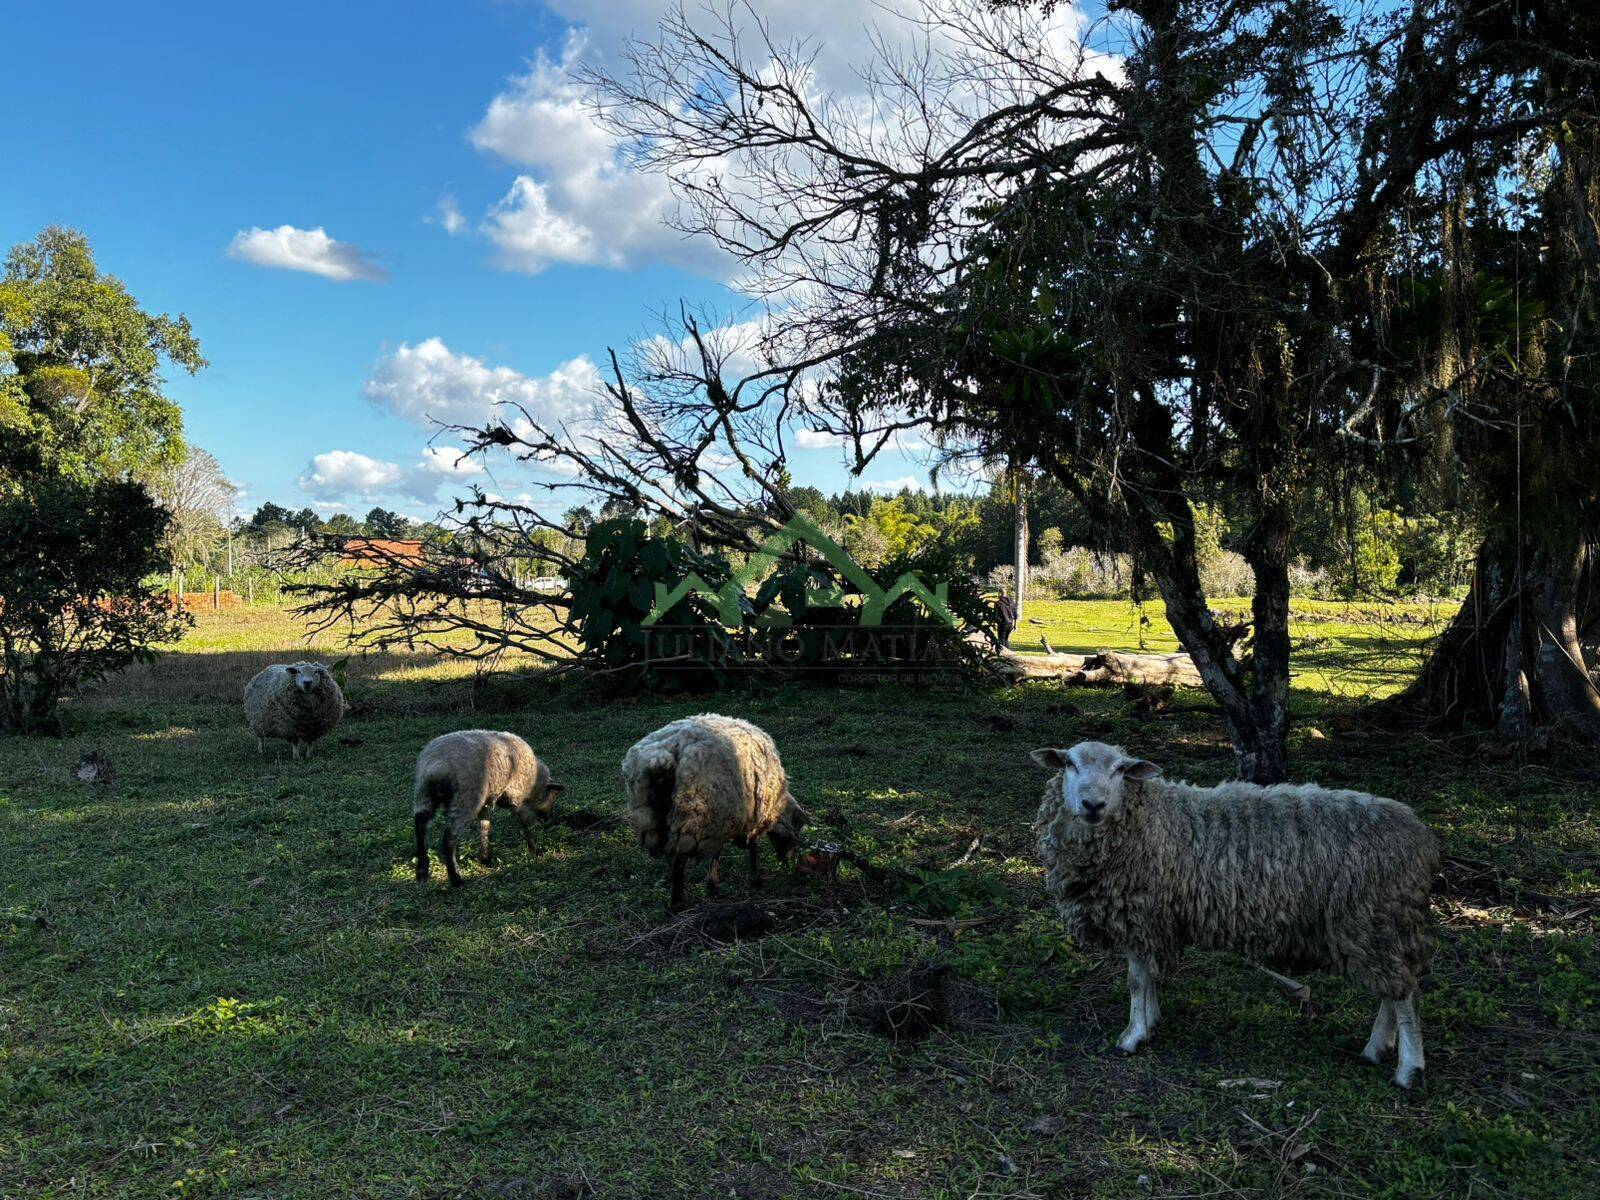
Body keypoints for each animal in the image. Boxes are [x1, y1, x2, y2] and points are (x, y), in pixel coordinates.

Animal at [412, 729, 563, 889]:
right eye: (553, 797)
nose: (548, 819)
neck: (534, 781)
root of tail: (437, 767)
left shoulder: (485, 802)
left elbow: (485, 826)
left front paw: (485, 858)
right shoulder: (516, 796)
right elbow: (524, 824)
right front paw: (535, 849)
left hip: (424, 794)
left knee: (420, 825)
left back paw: (422, 869)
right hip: (465, 799)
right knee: (449, 837)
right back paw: (456, 878)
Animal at [617, 713, 806, 908]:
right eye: (793, 836)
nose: (788, 862)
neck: (777, 806)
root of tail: (661, 759)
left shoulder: (722, 818)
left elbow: (720, 850)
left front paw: (712, 882)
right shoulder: (747, 816)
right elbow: (750, 846)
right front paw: (754, 879)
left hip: (650, 816)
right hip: (692, 817)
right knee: (679, 862)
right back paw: (677, 904)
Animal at [1030, 742, 1446, 1088]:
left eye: (1119, 769)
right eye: (1069, 763)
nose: (1093, 804)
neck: (1151, 819)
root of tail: (1422, 838)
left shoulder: (1139, 913)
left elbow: (1135, 980)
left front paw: (1132, 1036)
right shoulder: (1155, 919)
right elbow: (1148, 977)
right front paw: (1151, 1020)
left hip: (1375, 920)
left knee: (1405, 996)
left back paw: (1408, 1070)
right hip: (1382, 927)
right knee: (1393, 990)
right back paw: (1375, 1049)